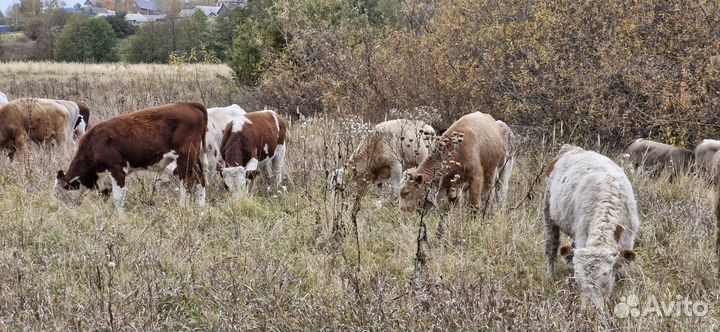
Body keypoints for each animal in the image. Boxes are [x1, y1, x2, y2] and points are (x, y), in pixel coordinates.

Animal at [54, 102, 207, 213]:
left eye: (59, 194)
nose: (61, 213)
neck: (94, 144)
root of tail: (189, 104)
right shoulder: (104, 179)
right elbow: (105, 196)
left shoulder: (116, 169)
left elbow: (118, 196)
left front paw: (120, 216)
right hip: (194, 159)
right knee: (200, 178)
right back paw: (201, 206)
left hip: (185, 159)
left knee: (186, 183)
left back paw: (183, 207)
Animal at [544, 144, 640, 310]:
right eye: (578, 281)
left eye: (605, 280)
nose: (590, 308)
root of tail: (571, 148)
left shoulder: (628, 242)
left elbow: (622, 273)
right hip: (548, 213)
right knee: (552, 247)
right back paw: (551, 277)